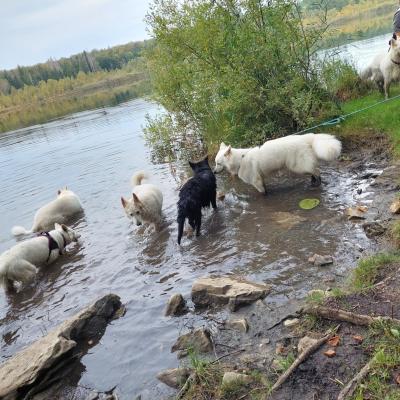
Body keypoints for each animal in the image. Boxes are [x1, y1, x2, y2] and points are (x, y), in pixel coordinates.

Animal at [214, 133, 342, 194]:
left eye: (218, 163)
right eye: (215, 163)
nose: (214, 172)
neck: (240, 160)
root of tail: (306, 137)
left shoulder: (256, 181)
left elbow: (263, 193)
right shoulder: (260, 179)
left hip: (297, 166)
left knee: (316, 171)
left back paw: (317, 183)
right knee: (313, 170)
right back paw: (313, 182)